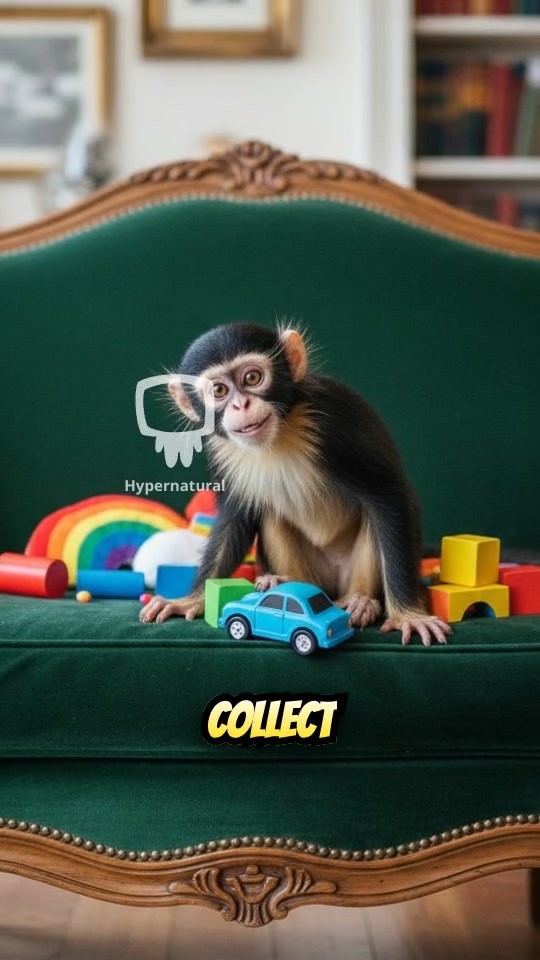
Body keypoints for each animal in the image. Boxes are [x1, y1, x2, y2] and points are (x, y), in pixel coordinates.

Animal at [140, 323, 451, 646]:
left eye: (252, 378)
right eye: (219, 391)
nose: (241, 404)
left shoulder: (333, 423)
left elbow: (389, 496)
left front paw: (408, 615)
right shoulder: (221, 451)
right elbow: (235, 518)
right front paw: (191, 599)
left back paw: (362, 601)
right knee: (268, 512)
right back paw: (277, 581)